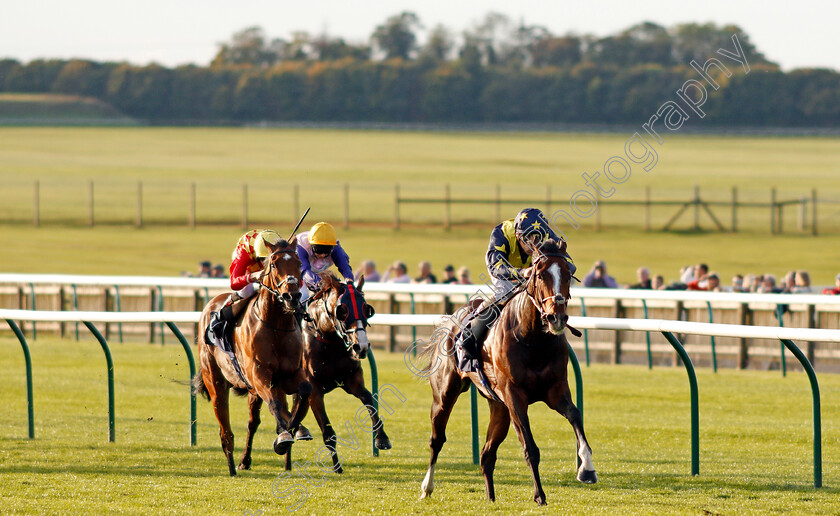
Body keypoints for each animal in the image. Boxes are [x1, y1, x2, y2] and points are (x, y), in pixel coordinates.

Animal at [194, 237, 312, 476]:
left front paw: (295, 429)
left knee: (254, 421)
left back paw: (247, 459)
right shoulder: (259, 374)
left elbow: (303, 393)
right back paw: (232, 465)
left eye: (299, 264)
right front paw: (284, 436)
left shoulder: (289, 375)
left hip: (255, 390)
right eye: (274, 264)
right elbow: (275, 404)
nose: (292, 296)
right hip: (215, 380)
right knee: (225, 427)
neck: (275, 325)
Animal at [278, 274, 390, 472]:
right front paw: (337, 467)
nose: (361, 347)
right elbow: (327, 431)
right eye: (342, 311)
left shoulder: (353, 381)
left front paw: (381, 439)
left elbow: (370, 400)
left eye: (366, 309)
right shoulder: (315, 391)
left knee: (295, 414)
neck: (329, 339)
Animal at [416, 240, 592, 506]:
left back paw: (490, 497)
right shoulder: (514, 396)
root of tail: (454, 318)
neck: (533, 339)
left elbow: (575, 415)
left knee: (486, 455)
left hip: (499, 408)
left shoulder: (556, 390)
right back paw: (427, 487)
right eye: (540, 274)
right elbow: (530, 448)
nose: (557, 318)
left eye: (568, 273)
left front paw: (586, 468)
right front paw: (540, 495)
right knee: (437, 440)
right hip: (445, 395)